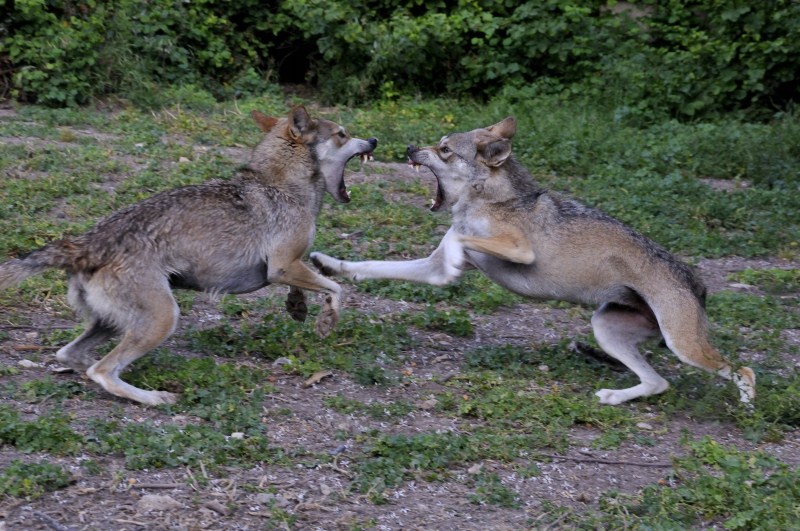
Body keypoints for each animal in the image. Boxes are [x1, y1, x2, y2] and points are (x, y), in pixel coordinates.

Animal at [0, 108, 378, 408]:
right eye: (343, 134)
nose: (374, 140)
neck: (282, 184)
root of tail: (86, 244)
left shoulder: (284, 267)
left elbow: (308, 286)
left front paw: (298, 307)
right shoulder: (284, 264)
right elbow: (336, 289)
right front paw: (327, 320)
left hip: (112, 323)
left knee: (73, 357)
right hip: (163, 319)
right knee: (102, 370)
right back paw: (155, 398)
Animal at [312, 117, 756, 408]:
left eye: (444, 149)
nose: (406, 149)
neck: (489, 199)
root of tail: (696, 282)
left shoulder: (517, 248)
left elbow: (459, 239)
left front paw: (457, 254)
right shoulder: (431, 269)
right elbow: (370, 264)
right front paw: (327, 263)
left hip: (684, 347)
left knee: (743, 372)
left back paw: (747, 409)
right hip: (606, 330)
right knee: (658, 383)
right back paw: (613, 397)